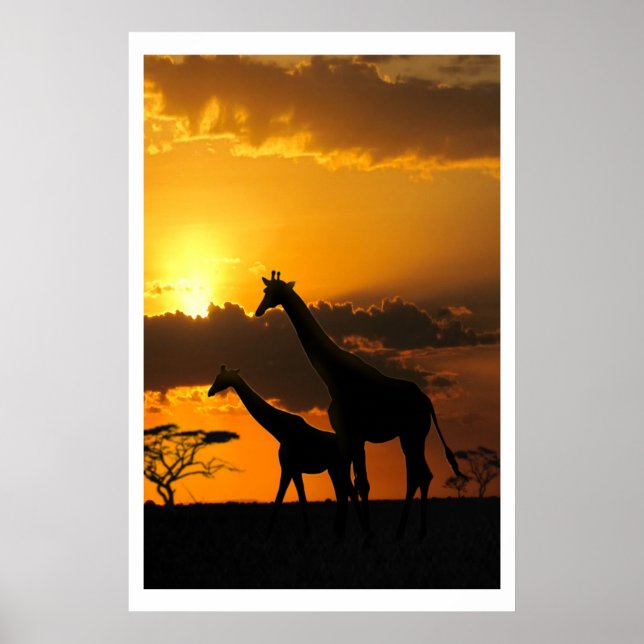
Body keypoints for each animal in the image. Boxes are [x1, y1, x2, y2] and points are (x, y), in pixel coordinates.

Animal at [208, 365, 357, 538]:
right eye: (216, 377)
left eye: (221, 378)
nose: (210, 392)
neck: (281, 431)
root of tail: (351, 447)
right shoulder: (294, 470)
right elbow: (301, 499)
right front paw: (306, 533)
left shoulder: (287, 467)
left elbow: (280, 499)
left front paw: (267, 535)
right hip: (334, 469)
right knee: (343, 494)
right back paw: (339, 533)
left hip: (339, 467)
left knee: (349, 492)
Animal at [254, 273, 467, 539]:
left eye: (269, 292)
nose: (258, 310)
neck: (334, 376)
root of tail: (427, 401)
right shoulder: (352, 436)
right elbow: (355, 483)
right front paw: (350, 533)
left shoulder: (351, 433)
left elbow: (355, 484)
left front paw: (360, 535)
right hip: (411, 436)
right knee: (420, 475)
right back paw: (405, 533)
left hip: (413, 435)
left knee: (420, 475)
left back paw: (414, 533)